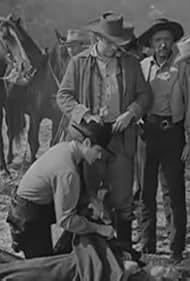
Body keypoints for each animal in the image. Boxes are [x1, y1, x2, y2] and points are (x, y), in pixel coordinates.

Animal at [0, 15, 70, 162]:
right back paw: (9, 157)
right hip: (8, 109)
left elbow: (53, 142)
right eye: (64, 53)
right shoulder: (35, 116)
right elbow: (33, 143)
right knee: (10, 132)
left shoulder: (56, 118)